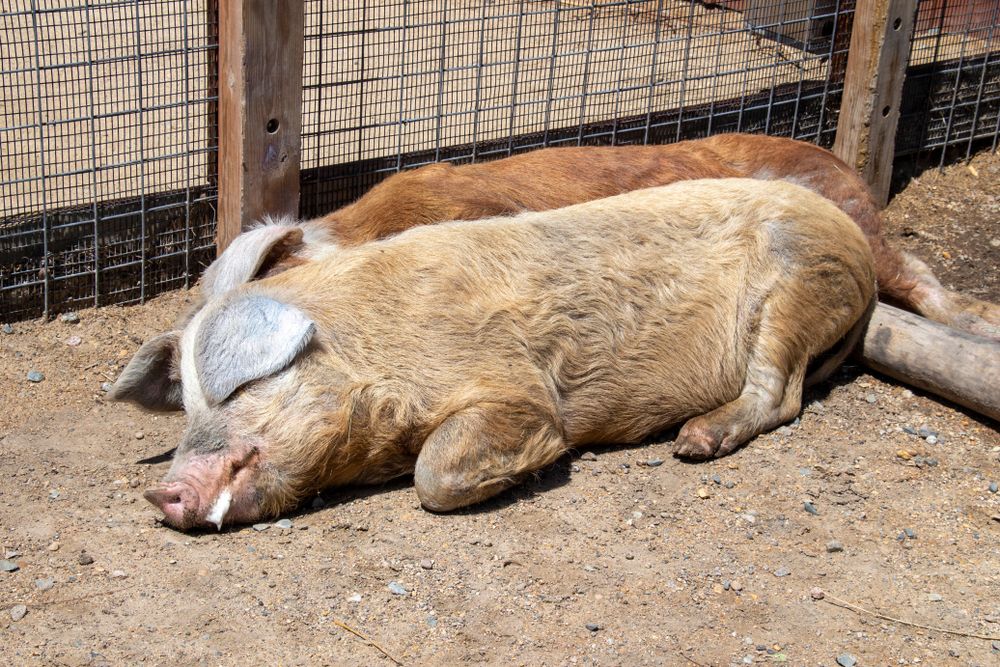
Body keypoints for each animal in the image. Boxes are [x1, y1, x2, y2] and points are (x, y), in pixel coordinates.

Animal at [112, 179, 876, 530]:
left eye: (239, 388)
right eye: (188, 408)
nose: (161, 491)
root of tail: (860, 249)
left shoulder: (514, 386)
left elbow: (435, 474)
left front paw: (524, 471)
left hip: (802, 282)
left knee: (781, 394)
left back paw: (692, 442)